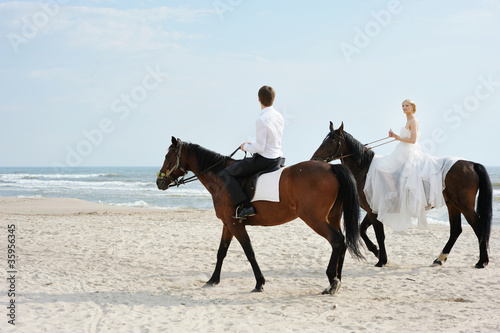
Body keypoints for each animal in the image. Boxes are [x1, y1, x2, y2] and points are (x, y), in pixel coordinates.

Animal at [156, 136, 364, 294]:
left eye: (168, 156)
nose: (159, 182)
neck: (221, 180)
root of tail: (331, 168)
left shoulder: (235, 224)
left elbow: (249, 251)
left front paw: (259, 283)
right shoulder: (228, 224)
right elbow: (221, 251)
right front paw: (213, 280)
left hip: (315, 219)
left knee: (336, 240)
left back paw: (332, 281)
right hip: (332, 217)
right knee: (342, 242)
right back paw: (336, 279)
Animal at [312, 122, 492, 268]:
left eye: (331, 141)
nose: (315, 159)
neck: (365, 169)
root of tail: (472, 164)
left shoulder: (373, 210)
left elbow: (379, 234)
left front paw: (381, 260)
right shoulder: (372, 210)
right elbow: (362, 230)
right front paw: (377, 252)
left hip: (463, 205)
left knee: (478, 226)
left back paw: (481, 261)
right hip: (452, 204)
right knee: (456, 230)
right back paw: (440, 259)